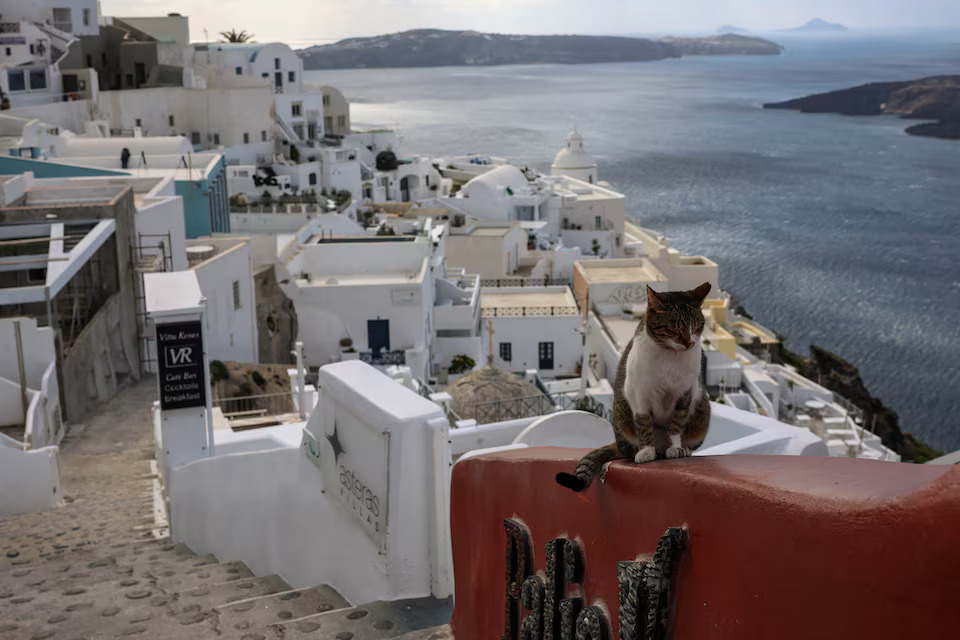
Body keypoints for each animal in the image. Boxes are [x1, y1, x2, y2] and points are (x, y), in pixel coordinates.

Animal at [556, 282, 712, 492]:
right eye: (674, 330)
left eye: (696, 327)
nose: (689, 343)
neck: (671, 356)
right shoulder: (639, 395)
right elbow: (644, 424)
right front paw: (646, 451)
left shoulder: (685, 394)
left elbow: (676, 424)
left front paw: (675, 447)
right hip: (621, 415)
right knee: (628, 449)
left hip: (702, 411)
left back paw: (681, 449)